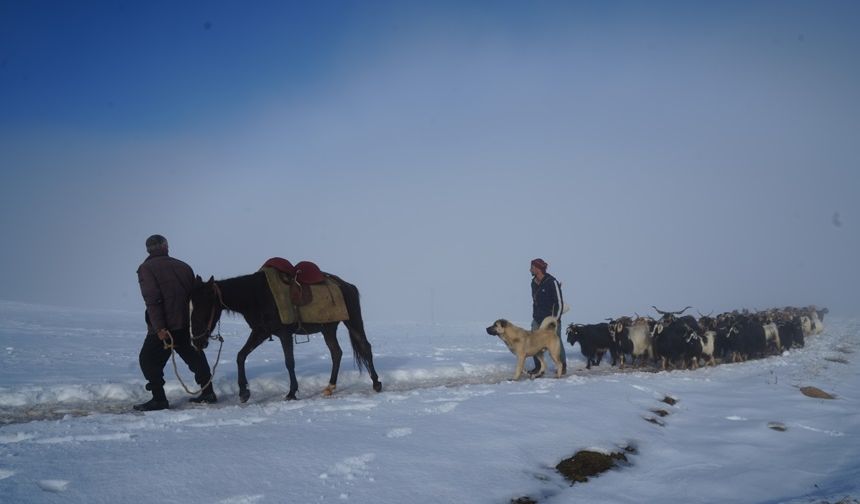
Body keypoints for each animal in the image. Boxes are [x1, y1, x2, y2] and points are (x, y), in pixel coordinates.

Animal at [193, 272, 384, 402]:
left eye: (203, 307)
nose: (197, 342)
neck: (257, 296)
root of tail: (347, 286)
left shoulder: (284, 334)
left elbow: (289, 362)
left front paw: (292, 393)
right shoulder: (260, 332)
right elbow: (241, 356)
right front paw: (244, 392)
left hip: (353, 322)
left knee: (365, 346)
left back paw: (376, 383)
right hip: (328, 329)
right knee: (336, 353)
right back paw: (330, 387)